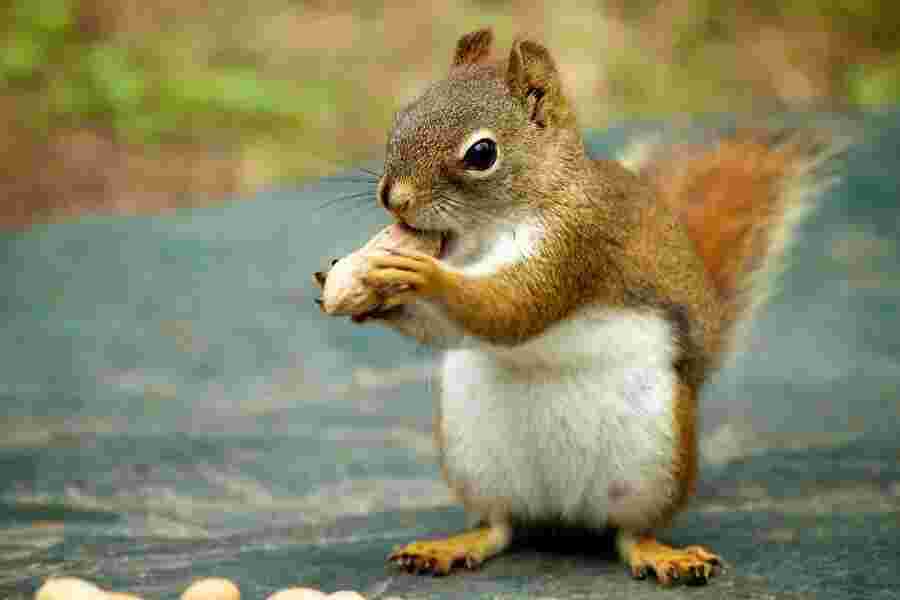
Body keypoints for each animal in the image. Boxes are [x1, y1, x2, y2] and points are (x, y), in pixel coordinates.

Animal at [331, 28, 835, 585]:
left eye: (482, 153)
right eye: (403, 115)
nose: (392, 198)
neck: (490, 229)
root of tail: (563, 511)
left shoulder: (577, 246)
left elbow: (514, 309)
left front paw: (424, 276)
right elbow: (450, 331)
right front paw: (365, 295)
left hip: (655, 462)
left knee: (630, 532)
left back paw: (663, 554)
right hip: (474, 457)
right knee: (499, 526)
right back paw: (451, 545)